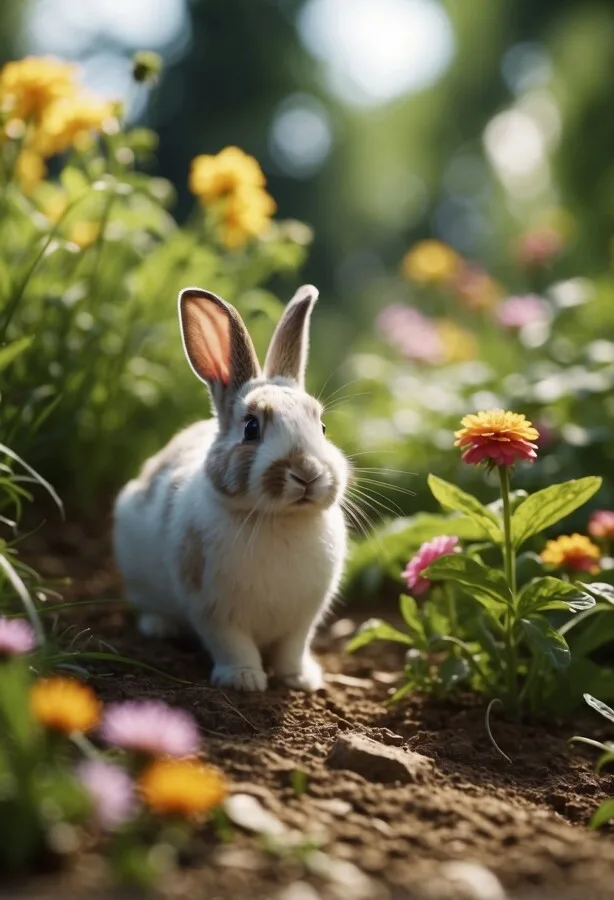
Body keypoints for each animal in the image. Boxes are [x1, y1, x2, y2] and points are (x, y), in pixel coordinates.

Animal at [113, 284, 349, 692]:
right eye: (251, 428)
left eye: (322, 428)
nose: (307, 472)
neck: (279, 519)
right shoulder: (213, 611)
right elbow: (233, 645)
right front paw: (244, 680)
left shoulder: (303, 619)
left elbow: (292, 648)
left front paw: (300, 680)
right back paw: (159, 627)